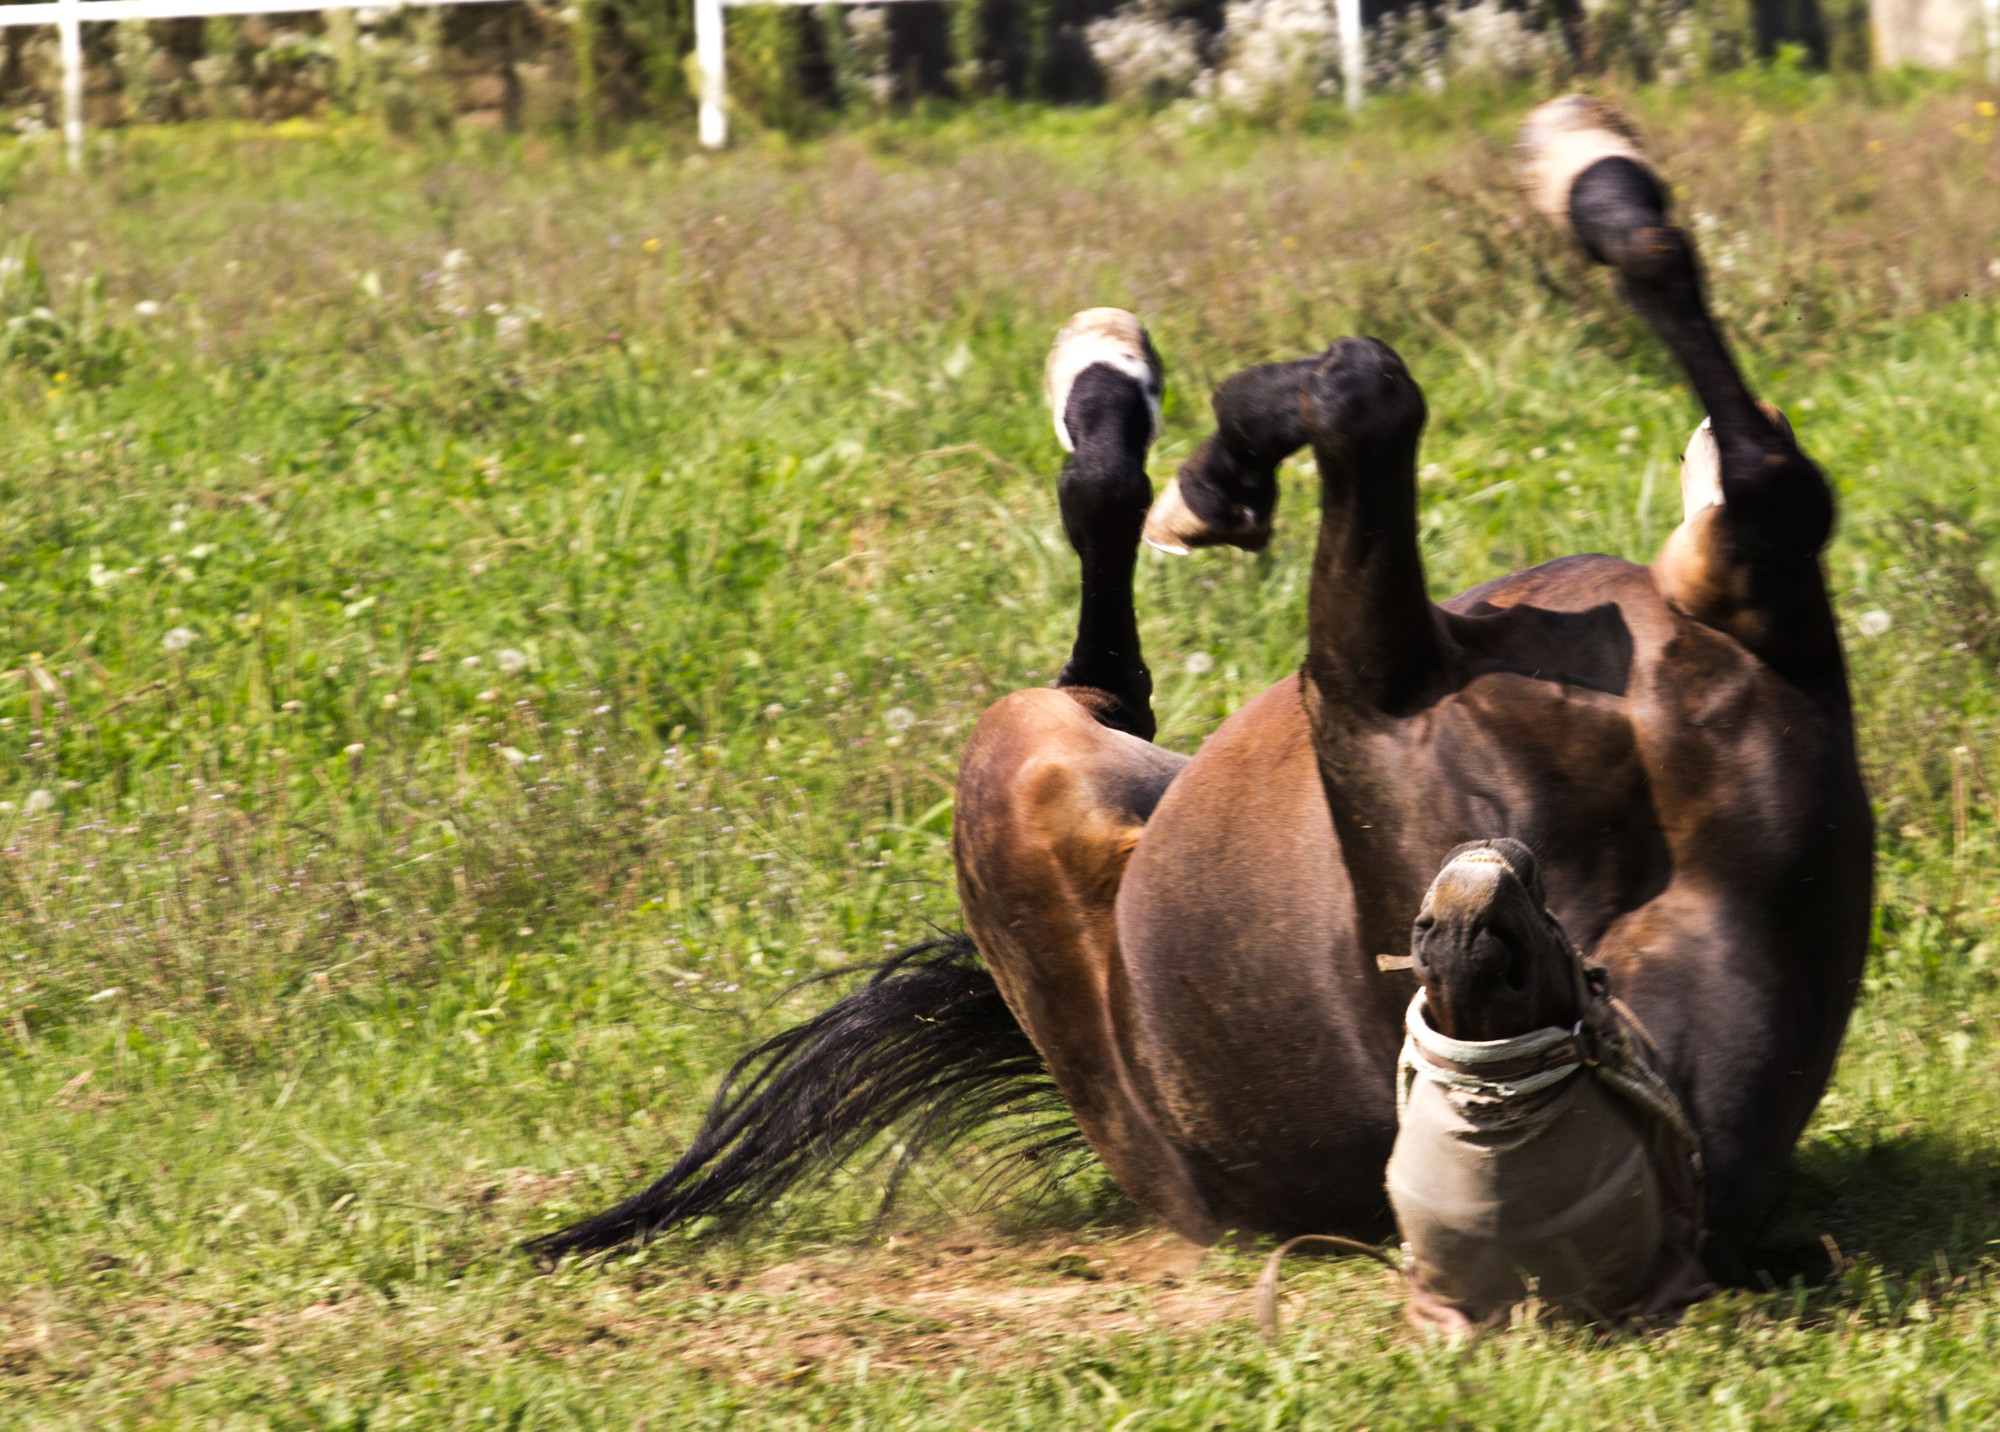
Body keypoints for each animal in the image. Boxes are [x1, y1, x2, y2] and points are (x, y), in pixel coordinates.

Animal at [536, 100, 1872, 1288]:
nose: (1472, 900)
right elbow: (1709, 431)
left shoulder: (1372, 672)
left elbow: (1361, 390)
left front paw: (1214, 472)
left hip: (1024, 758)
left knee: (1110, 627)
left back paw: (1120, 387)